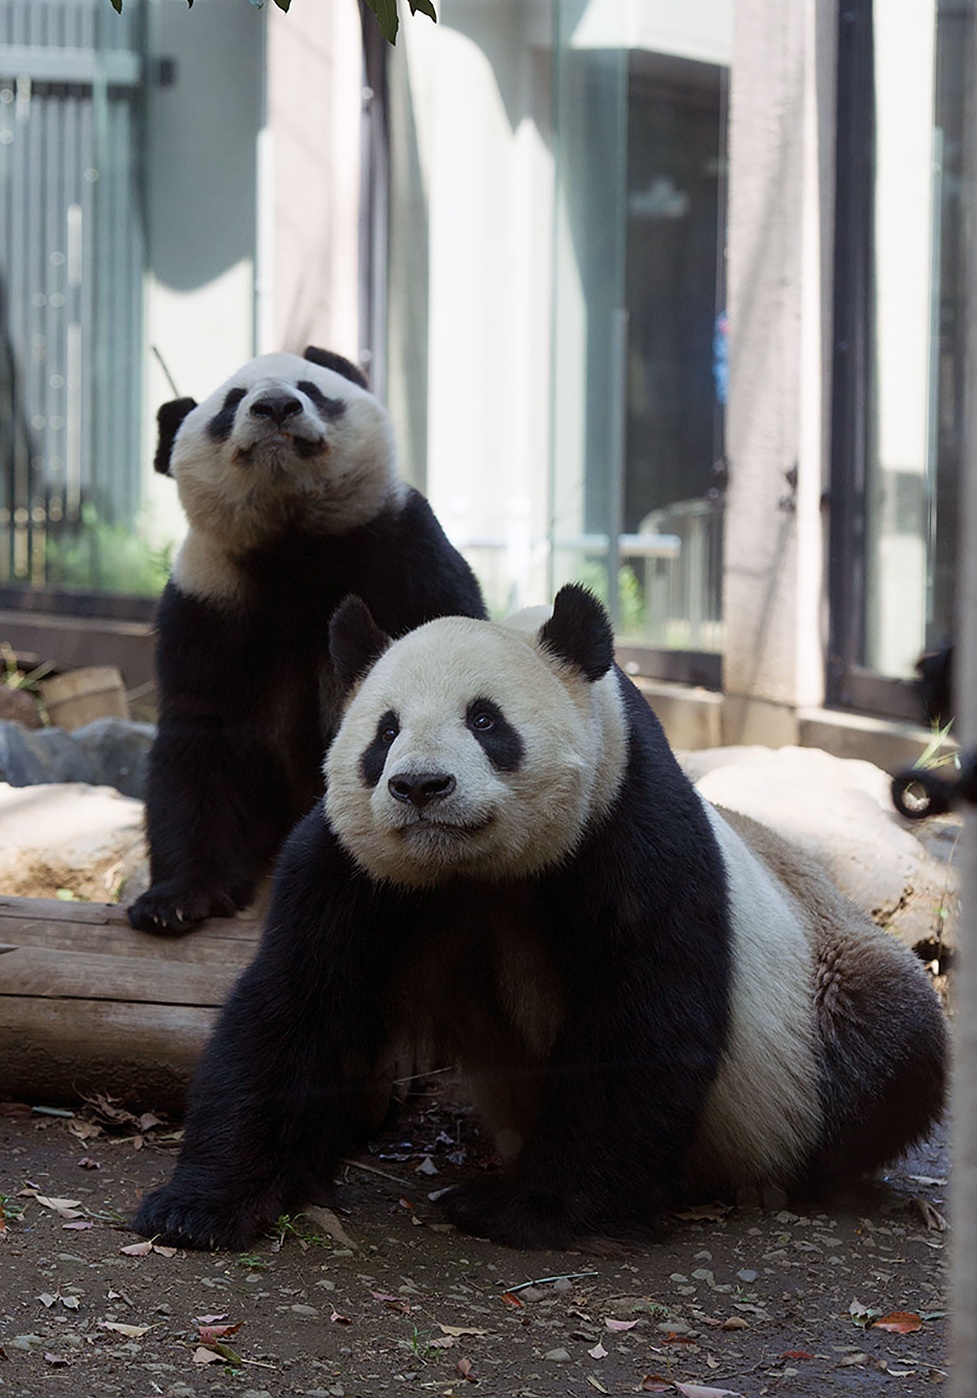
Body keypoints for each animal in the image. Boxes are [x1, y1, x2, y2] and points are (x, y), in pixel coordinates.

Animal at [125, 346, 486, 939]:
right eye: (232, 402)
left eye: (311, 389)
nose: (275, 406)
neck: (294, 542)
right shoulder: (211, 600)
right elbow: (200, 738)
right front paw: (175, 900)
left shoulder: (406, 555)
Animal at [129, 584, 950, 1252]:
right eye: (384, 731)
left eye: (486, 721)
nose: (421, 787)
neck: (473, 869)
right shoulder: (351, 865)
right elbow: (297, 1003)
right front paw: (200, 1206)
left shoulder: (629, 826)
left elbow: (639, 1016)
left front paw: (528, 1210)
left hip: (816, 986)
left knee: (889, 1034)